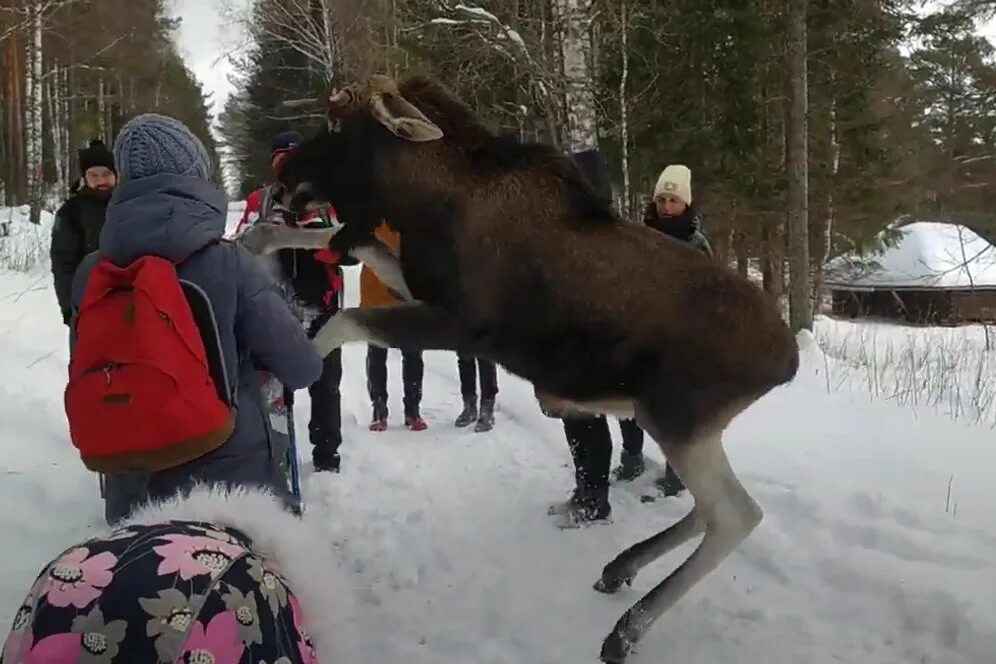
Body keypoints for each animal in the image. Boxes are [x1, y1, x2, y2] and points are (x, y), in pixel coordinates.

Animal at [270, 74, 792, 664]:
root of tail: (789, 362)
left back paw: (626, 629)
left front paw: (283, 376)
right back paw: (621, 568)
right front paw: (258, 238)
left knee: (735, 513)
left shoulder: (462, 328)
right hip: (684, 428)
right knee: (707, 509)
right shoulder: (418, 288)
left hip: (676, 419)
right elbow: (348, 242)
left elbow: (341, 322)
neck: (423, 204)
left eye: (337, 122)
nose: (283, 179)